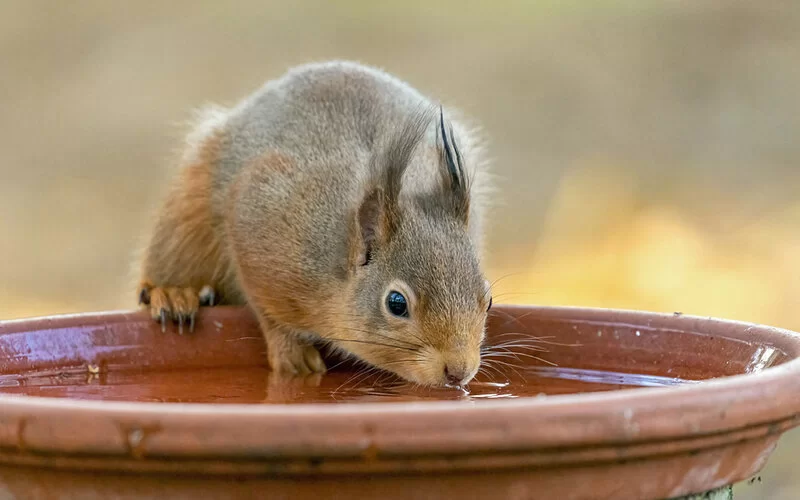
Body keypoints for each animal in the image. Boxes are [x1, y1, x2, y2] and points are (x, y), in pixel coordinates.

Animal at [134, 61, 490, 386]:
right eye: (396, 303)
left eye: (487, 299)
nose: (458, 371)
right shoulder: (258, 226)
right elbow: (267, 312)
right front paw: (291, 354)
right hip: (186, 216)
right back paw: (174, 294)